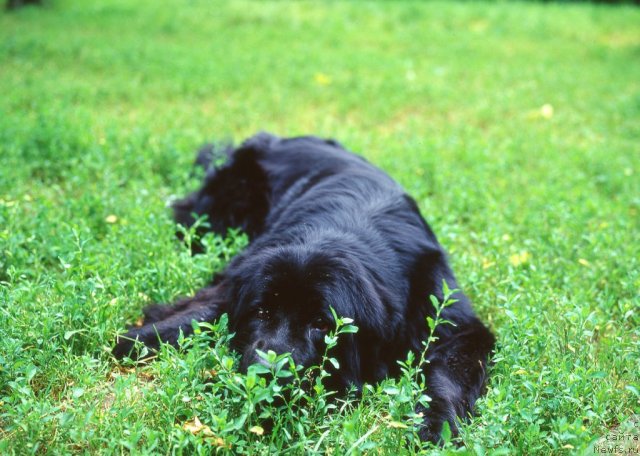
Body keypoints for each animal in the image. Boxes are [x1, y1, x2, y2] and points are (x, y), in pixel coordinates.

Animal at [114, 132, 496, 442]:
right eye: (262, 311)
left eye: (321, 324)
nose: (268, 374)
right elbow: (201, 312)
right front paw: (136, 340)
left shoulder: (449, 317)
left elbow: (447, 372)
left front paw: (437, 424)